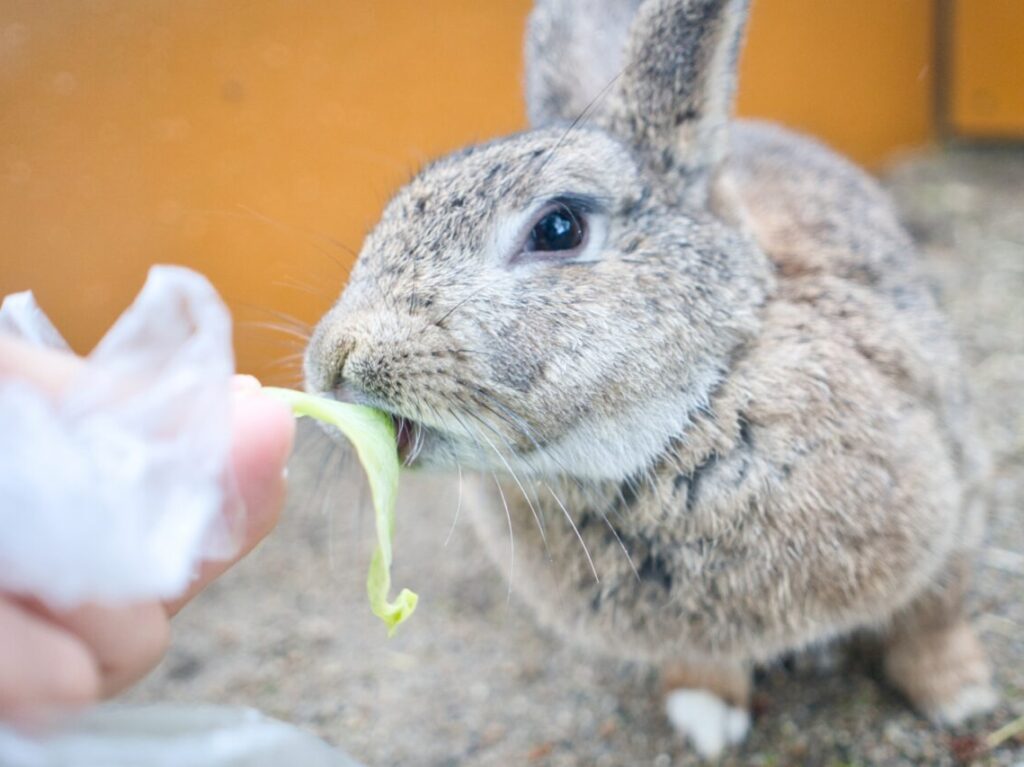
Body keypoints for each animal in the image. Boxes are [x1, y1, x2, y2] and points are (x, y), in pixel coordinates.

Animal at [301, 0, 991, 753]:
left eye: (559, 228)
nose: (334, 359)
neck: (696, 415)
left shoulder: (950, 497)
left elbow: (933, 614)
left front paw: (961, 697)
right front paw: (707, 718)